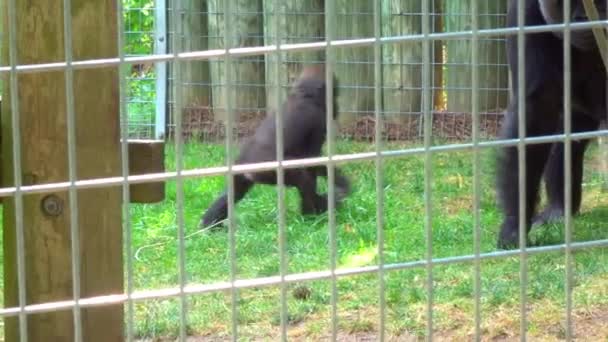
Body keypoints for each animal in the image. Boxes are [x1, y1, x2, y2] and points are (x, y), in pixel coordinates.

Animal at [201, 66, 352, 228]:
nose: (336, 105)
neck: (304, 96)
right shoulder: (319, 121)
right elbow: (311, 158)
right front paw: (335, 189)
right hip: (268, 171)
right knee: (303, 179)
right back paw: (311, 214)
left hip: (240, 169)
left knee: (233, 193)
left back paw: (210, 224)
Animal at [496, 1, 604, 250]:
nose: (583, 18)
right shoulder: (525, 13)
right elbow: (536, 110)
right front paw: (515, 224)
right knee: (567, 139)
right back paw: (559, 208)